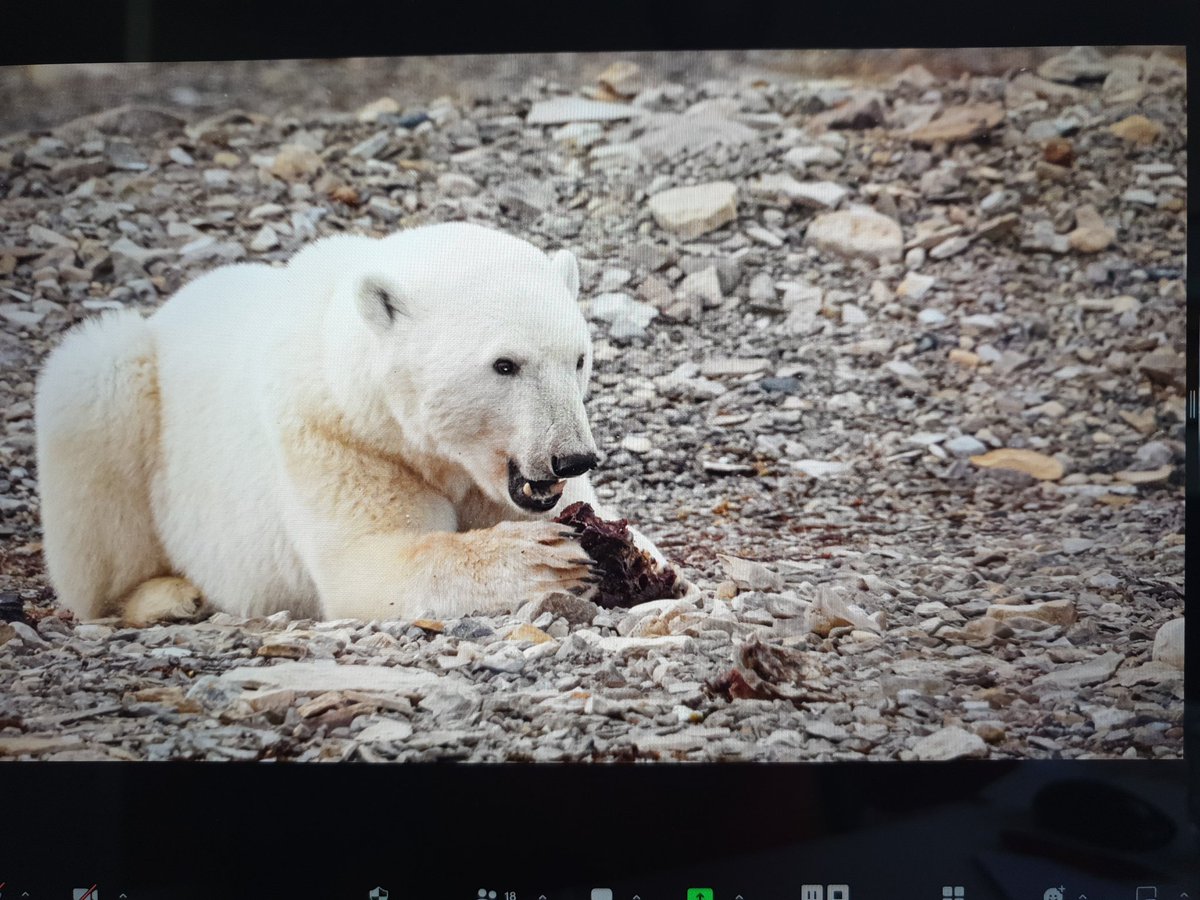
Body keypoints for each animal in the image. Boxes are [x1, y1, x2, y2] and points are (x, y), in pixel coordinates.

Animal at [35, 225, 667, 628]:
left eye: (578, 359)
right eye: (505, 364)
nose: (572, 457)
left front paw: (640, 561)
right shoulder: (333, 441)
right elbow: (370, 566)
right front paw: (542, 557)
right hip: (124, 392)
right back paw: (164, 595)